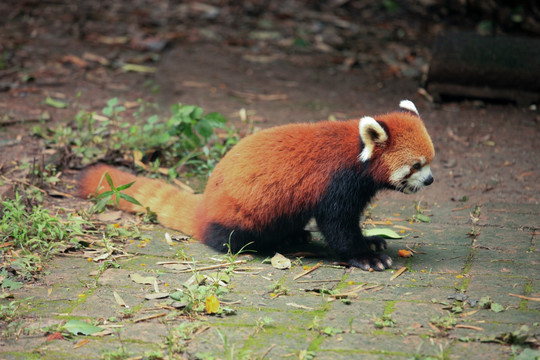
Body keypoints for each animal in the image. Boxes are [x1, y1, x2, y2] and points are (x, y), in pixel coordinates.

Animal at [79, 100, 434, 272]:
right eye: (416, 166)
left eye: (430, 161)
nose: (430, 180)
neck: (356, 153)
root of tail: (204, 205)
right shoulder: (335, 184)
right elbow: (337, 226)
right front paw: (364, 256)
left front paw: (371, 241)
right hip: (240, 216)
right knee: (234, 238)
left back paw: (296, 235)